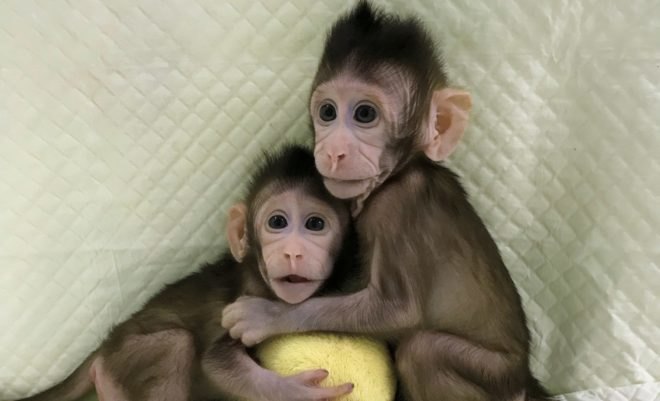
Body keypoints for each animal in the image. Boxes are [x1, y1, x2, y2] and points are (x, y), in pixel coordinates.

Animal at [16, 144, 357, 401]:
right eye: (277, 222)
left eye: (315, 224)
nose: (293, 252)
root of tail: (108, 342)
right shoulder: (244, 299)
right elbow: (217, 362)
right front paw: (296, 391)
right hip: (128, 354)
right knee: (176, 345)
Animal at [222, 2, 551, 401]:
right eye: (328, 112)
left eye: (365, 114)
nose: (332, 151)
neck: (399, 172)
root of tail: (525, 379)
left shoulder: (396, 207)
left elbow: (398, 310)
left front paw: (267, 315)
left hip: (495, 375)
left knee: (422, 350)